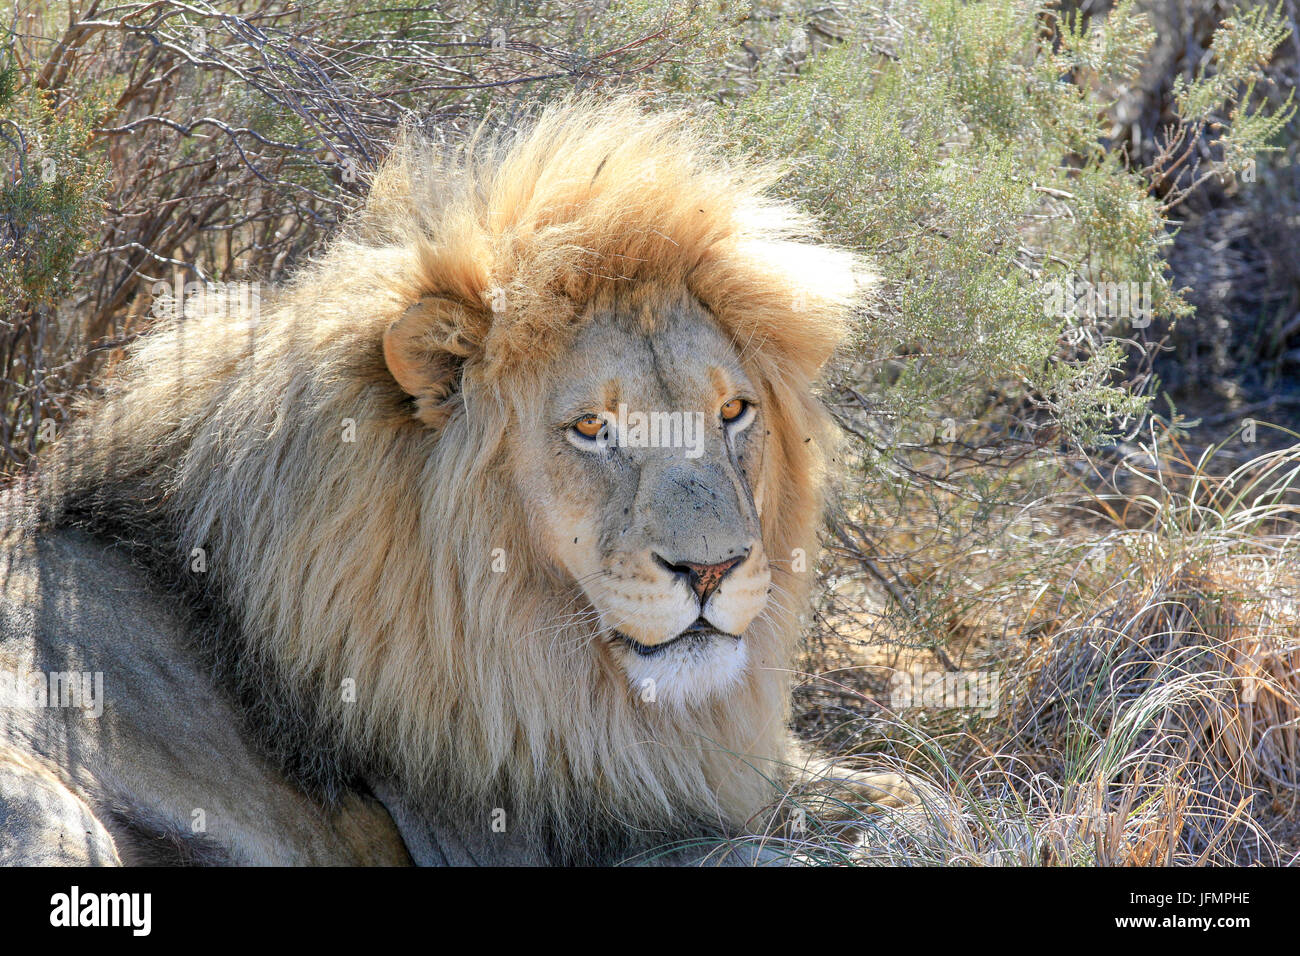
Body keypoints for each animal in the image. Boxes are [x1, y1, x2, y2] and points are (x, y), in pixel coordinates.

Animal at [0, 96, 892, 865]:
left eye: (734, 411)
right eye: (592, 428)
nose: (712, 570)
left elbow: (886, 791)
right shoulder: (519, 837)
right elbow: (774, 847)